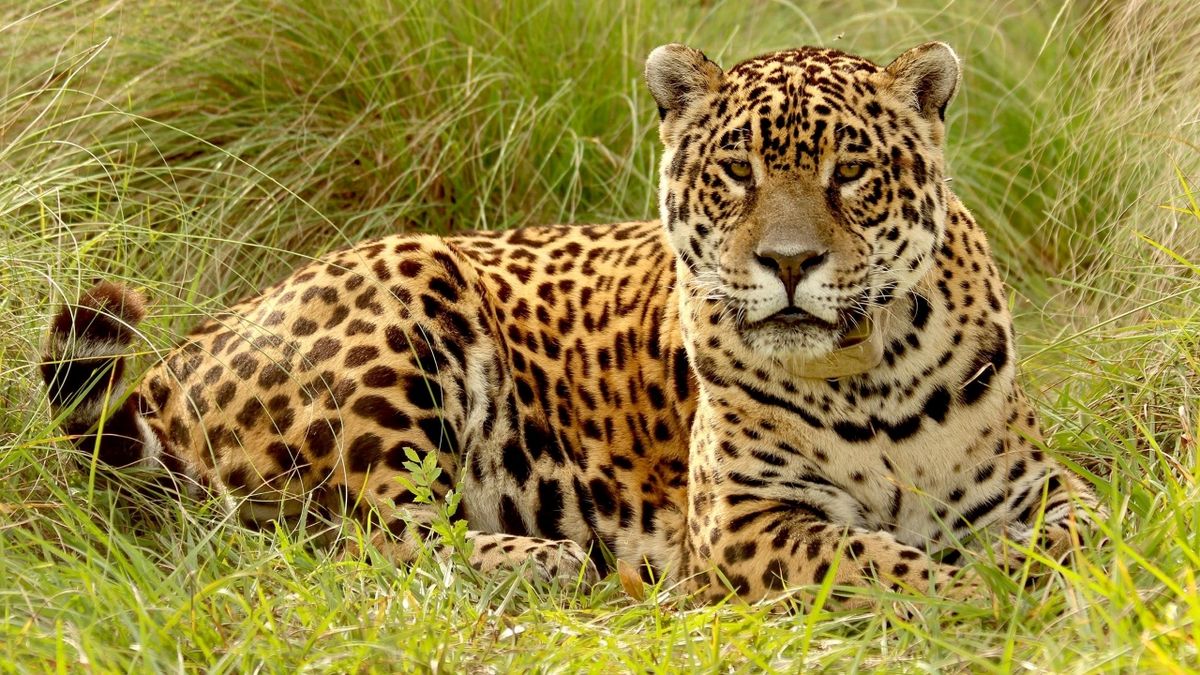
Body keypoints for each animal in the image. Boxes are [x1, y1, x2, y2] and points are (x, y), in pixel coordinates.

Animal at [40, 41, 1099, 603]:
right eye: (737, 172)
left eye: (852, 172)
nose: (791, 263)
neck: (869, 378)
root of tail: (174, 362)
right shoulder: (742, 518)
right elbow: (867, 554)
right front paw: (970, 591)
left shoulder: (1033, 480)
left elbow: (1090, 522)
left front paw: (1034, 572)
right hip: (407, 292)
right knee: (370, 544)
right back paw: (548, 560)